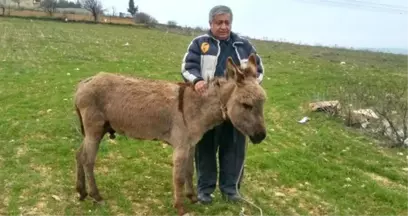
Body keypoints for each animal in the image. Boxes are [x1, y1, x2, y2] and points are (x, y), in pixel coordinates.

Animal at [73, 53, 268, 214]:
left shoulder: (190, 145)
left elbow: (190, 171)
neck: (196, 107)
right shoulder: (180, 146)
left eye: (262, 104)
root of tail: (85, 82)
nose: (261, 136)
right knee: (88, 160)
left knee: (79, 155)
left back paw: (81, 192)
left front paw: (193, 197)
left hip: (95, 131)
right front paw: (180, 207)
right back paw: (96, 196)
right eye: (246, 105)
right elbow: (179, 177)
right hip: (94, 129)